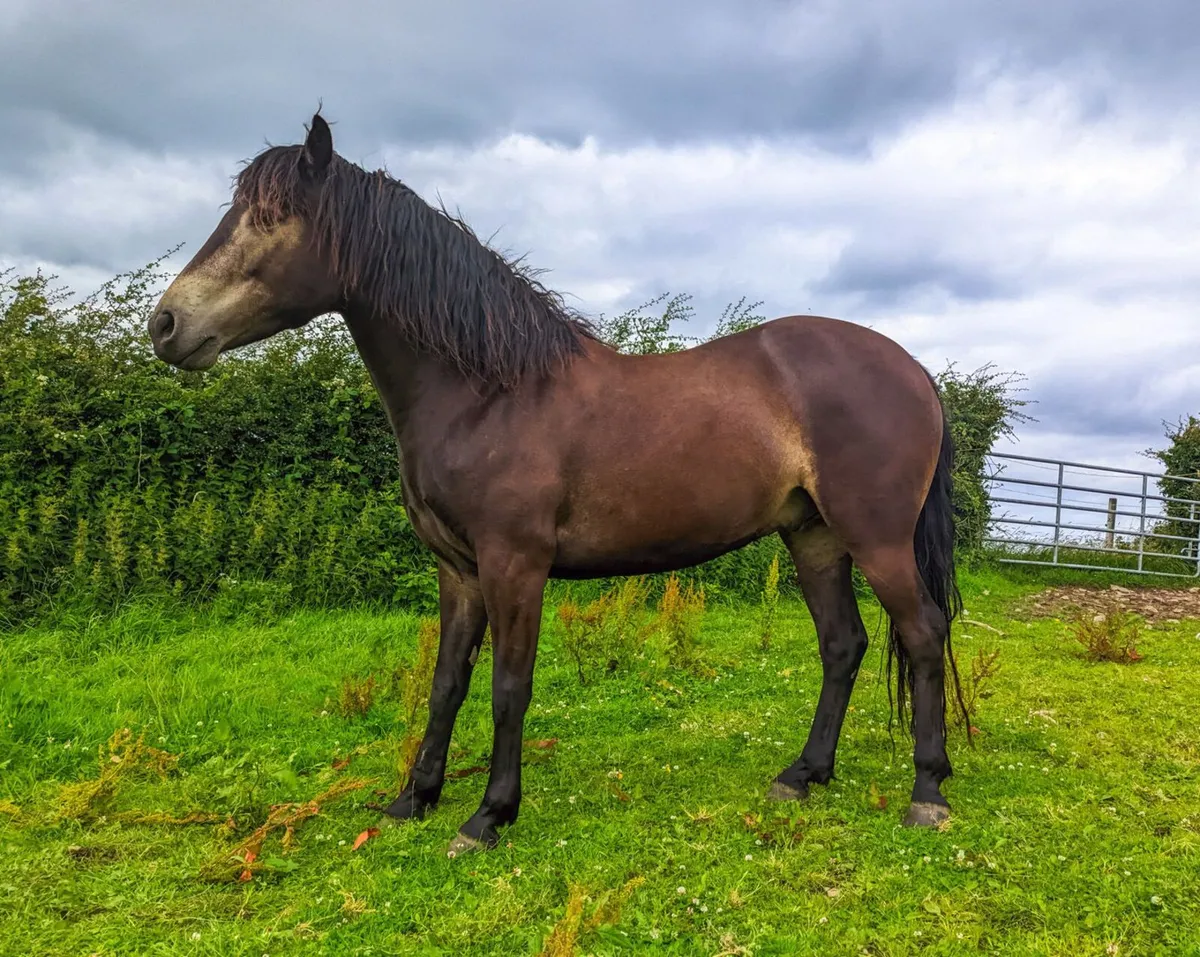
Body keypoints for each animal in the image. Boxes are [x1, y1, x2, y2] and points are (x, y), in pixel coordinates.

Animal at [147, 112, 966, 855]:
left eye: (271, 216)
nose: (165, 325)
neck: (488, 391)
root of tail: (915, 371)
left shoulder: (516, 565)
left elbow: (510, 687)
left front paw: (487, 816)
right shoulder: (458, 570)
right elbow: (447, 682)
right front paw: (413, 798)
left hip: (876, 538)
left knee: (924, 634)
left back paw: (927, 791)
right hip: (813, 536)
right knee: (843, 644)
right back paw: (803, 774)